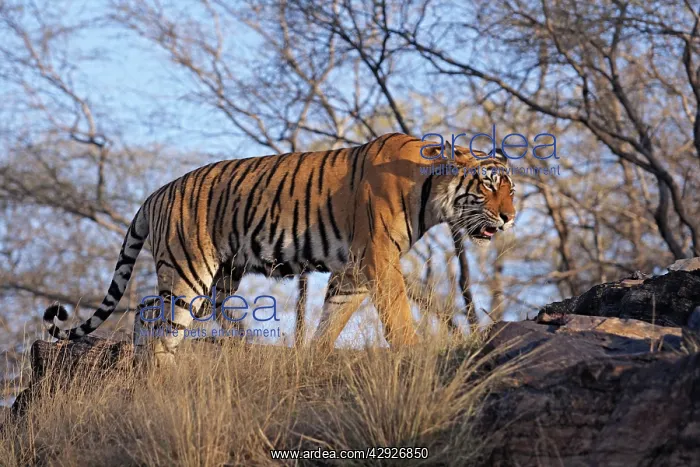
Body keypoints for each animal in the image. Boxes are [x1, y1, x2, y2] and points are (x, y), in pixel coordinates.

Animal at [43, 132, 516, 365]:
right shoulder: (379, 258)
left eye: (511, 190)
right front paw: (412, 352)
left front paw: (316, 356)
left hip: (219, 276)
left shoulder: (354, 269)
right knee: (163, 321)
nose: (511, 217)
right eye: (489, 186)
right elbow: (397, 312)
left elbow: (332, 318)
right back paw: (161, 372)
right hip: (188, 269)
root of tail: (155, 193)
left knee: (149, 310)